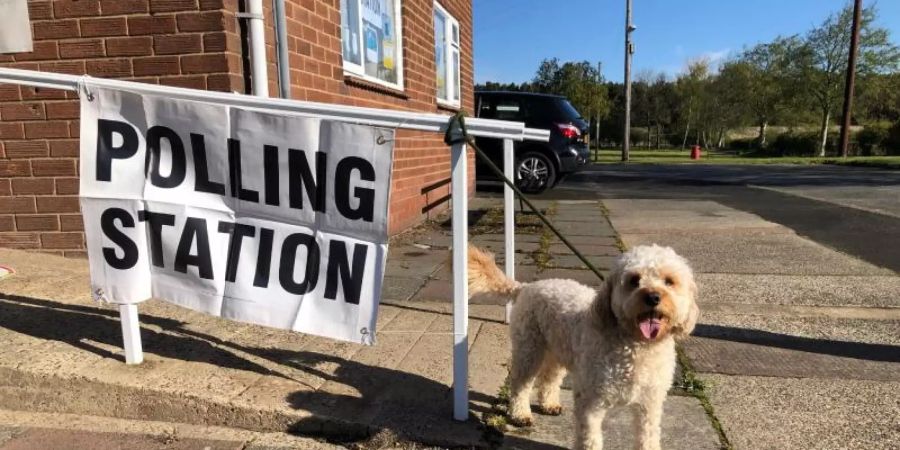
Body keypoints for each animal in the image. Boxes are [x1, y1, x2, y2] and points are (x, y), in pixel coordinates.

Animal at [468, 246, 700, 450]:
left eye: (669, 281)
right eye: (634, 280)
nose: (653, 297)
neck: (635, 346)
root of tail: (526, 287)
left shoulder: (649, 404)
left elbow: (648, 436)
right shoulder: (590, 401)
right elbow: (590, 438)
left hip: (558, 350)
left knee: (549, 378)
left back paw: (548, 404)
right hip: (529, 349)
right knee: (520, 383)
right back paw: (520, 414)